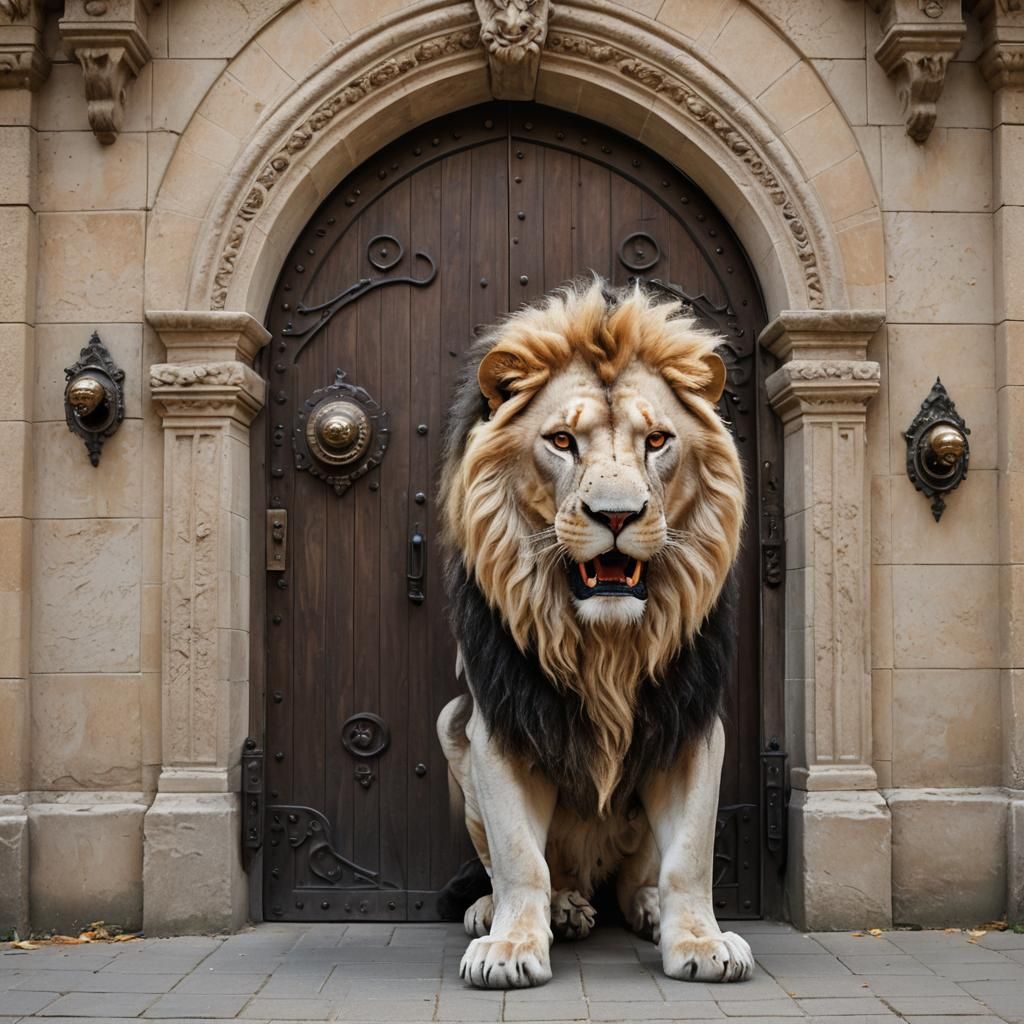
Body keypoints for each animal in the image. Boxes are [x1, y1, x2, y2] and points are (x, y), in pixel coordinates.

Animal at [436, 278, 753, 989]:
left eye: (657, 440)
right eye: (561, 440)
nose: (616, 515)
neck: (607, 646)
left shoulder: (693, 722)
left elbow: (689, 857)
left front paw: (701, 943)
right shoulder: (499, 722)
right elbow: (520, 858)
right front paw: (510, 947)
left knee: (637, 877)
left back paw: (646, 907)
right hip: (449, 727)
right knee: (529, 871)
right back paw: (535, 910)